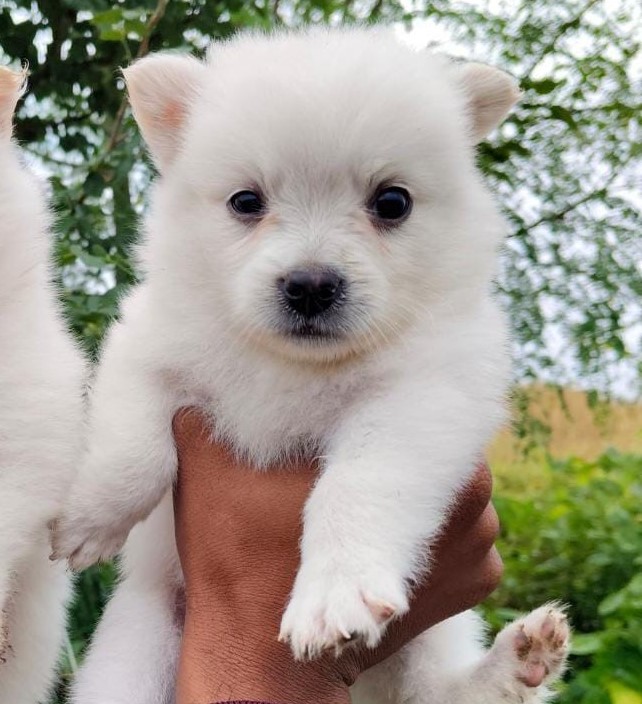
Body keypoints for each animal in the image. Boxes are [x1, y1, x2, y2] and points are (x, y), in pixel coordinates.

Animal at [53, 28, 564, 704]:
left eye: (392, 201)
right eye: (246, 201)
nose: (311, 285)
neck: (292, 364)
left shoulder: (423, 394)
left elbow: (356, 484)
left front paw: (334, 594)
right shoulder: (146, 343)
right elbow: (131, 447)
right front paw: (88, 516)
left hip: (432, 636)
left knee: (436, 692)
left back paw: (517, 662)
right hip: (135, 642)